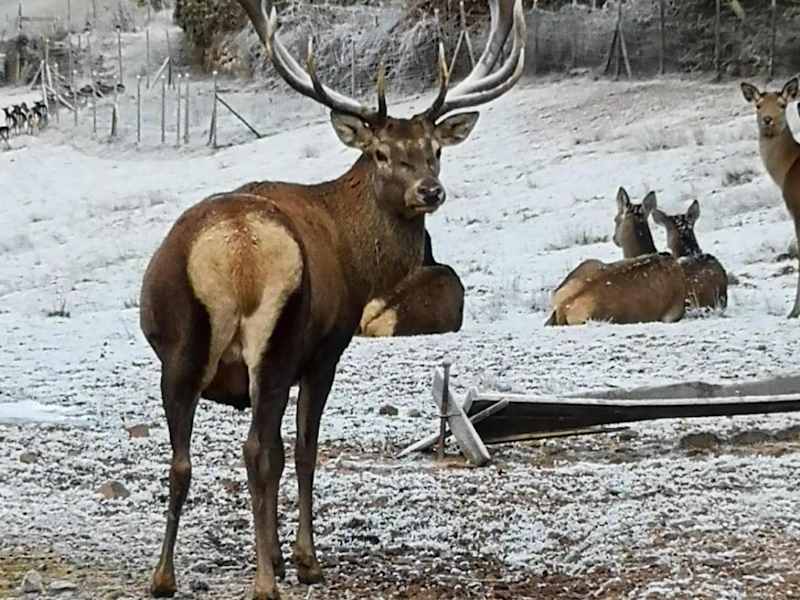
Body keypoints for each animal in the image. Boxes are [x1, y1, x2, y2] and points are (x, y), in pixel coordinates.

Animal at [139, 1, 525, 598]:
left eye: (435, 150)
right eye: (382, 152)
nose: (430, 191)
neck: (354, 258)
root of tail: (236, 248)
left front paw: (278, 553)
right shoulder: (326, 352)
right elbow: (302, 451)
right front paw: (303, 561)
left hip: (178, 349)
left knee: (182, 459)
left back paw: (164, 576)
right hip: (277, 342)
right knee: (257, 450)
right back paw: (265, 583)